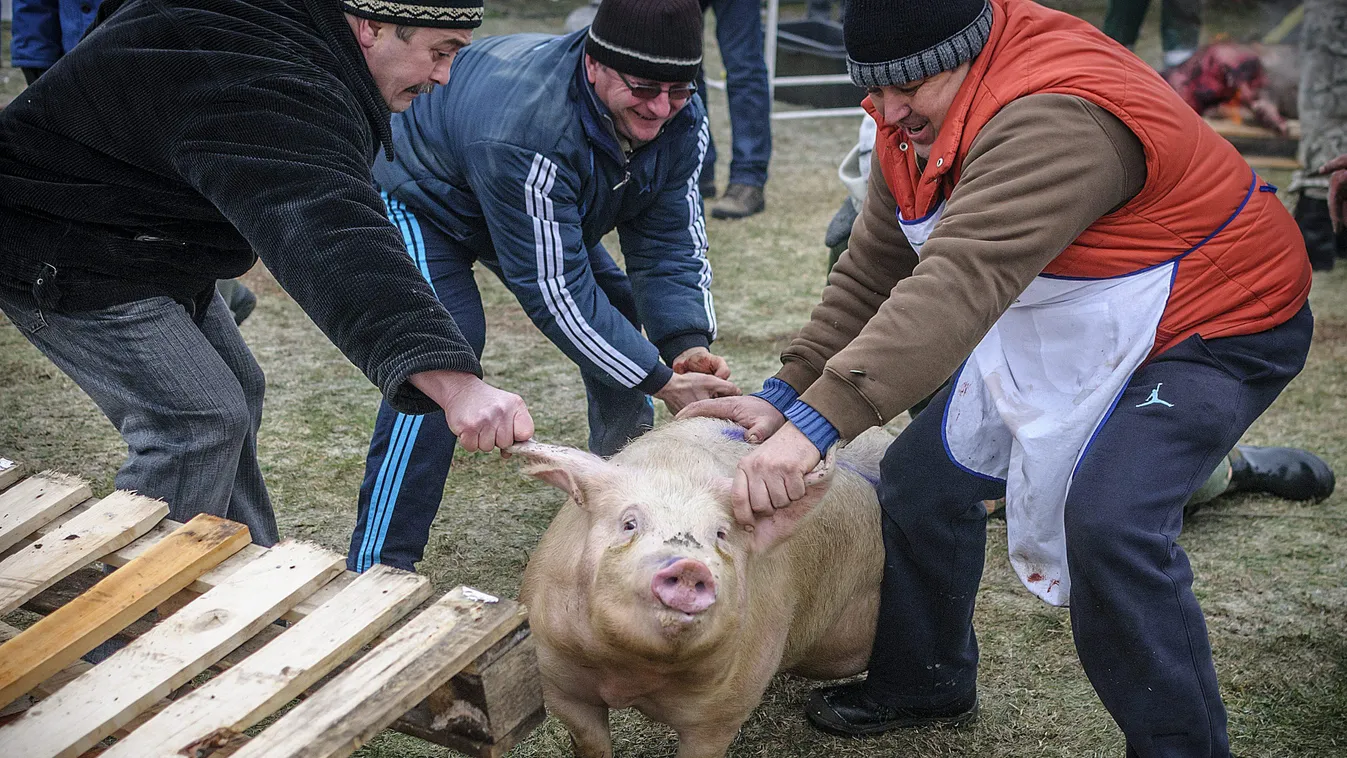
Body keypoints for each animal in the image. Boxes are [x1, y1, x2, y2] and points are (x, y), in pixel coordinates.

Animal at [511, 417, 883, 758]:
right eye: (629, 523)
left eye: (720, 534)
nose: (690, 566)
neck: (633, 675)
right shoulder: (558, 681)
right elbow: (590, 742)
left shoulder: (728, 706)